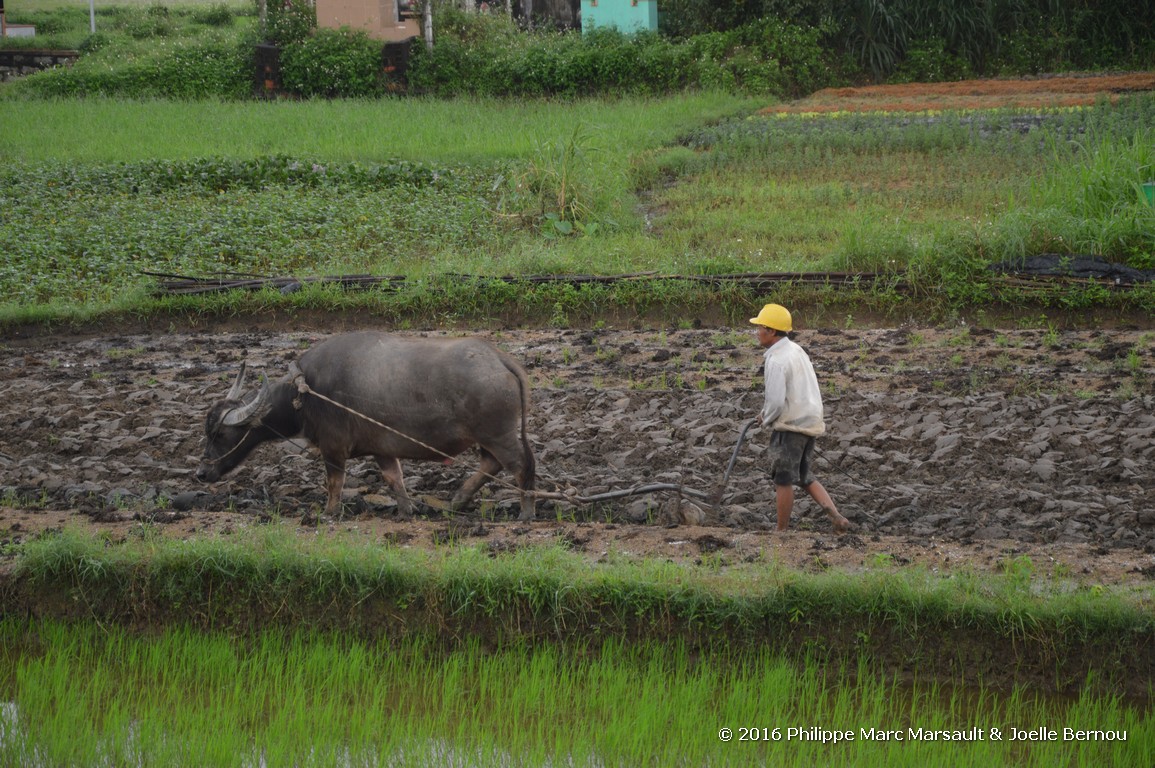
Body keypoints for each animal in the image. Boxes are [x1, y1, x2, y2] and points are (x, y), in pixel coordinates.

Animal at [197, 330, 535, 522]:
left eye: (220, 433)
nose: (201, 473)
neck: (305, 392)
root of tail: (501, 360)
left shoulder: (333, 447)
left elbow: (334, 482)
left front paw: (328, 513)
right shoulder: (382, 449)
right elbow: (393, 479)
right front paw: (406, 511)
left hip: (498, 434)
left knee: (520, 465)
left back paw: (525, 511)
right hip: (488, 437)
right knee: (492, 463)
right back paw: (457, 502)